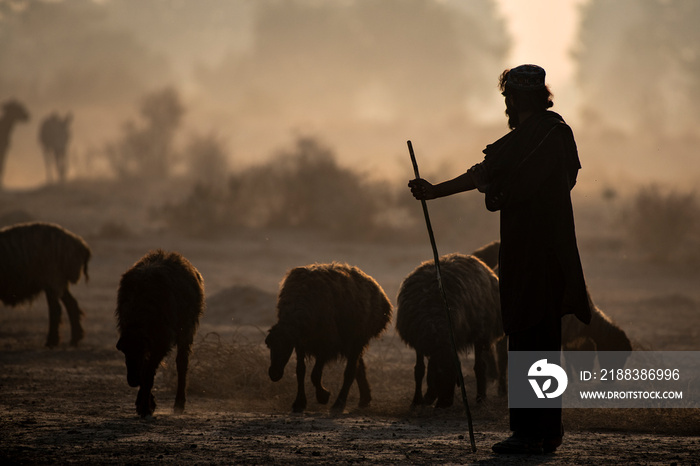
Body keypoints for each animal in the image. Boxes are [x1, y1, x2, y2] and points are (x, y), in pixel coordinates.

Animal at [116, 251, 204, 418]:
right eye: (123, 351)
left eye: (140, 350)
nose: (132, 380)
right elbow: (145, 370)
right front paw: (146, 404)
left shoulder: (161, 342)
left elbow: (148, 372)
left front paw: (145, 407)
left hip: (186, 330)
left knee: (182, 363)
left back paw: (179, 404)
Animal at [264, 264, 392, 414]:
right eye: (269, 345)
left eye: (286, 346)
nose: (274, 374)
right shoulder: (301, 343)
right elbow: (300, 370)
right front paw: (299, 402)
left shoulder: (327, 343)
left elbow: (315, 374)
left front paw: (323, 396)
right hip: (350, 342)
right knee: (358, 367)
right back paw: (364, 399)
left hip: (358, 338)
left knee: (350, 371)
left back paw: (339, 404)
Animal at [396, 253, 506, 410]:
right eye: (438, 375)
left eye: (455, 377)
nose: (445, 404)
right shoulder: (419, 341)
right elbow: (419, 370)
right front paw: (416, 400)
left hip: (481, 332)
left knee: (480, 366)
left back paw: (481, 398)